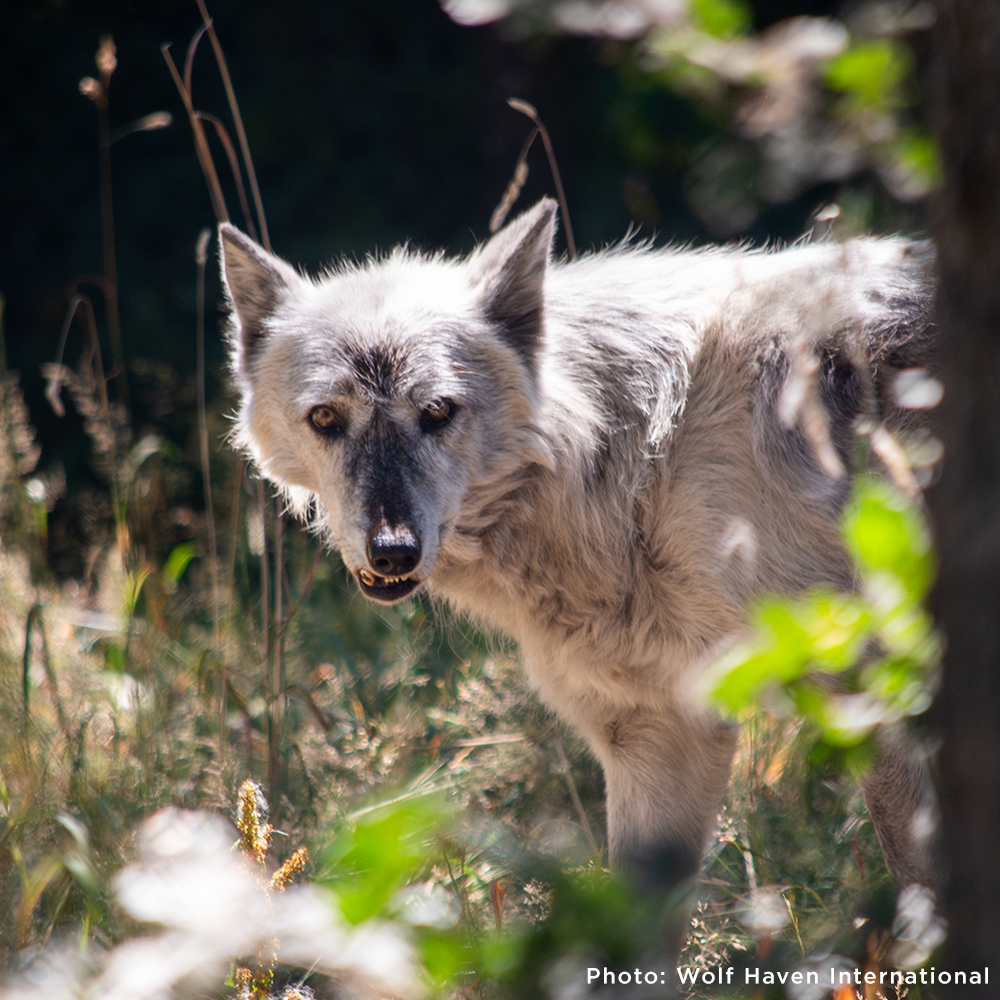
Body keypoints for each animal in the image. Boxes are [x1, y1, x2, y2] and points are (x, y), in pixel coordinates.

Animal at [219, 198, 938, 953]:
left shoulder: (874, 688)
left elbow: (920, 883)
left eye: (437, 412)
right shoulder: (658, 732)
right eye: (326, 418)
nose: (391, 551)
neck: (643, 456)